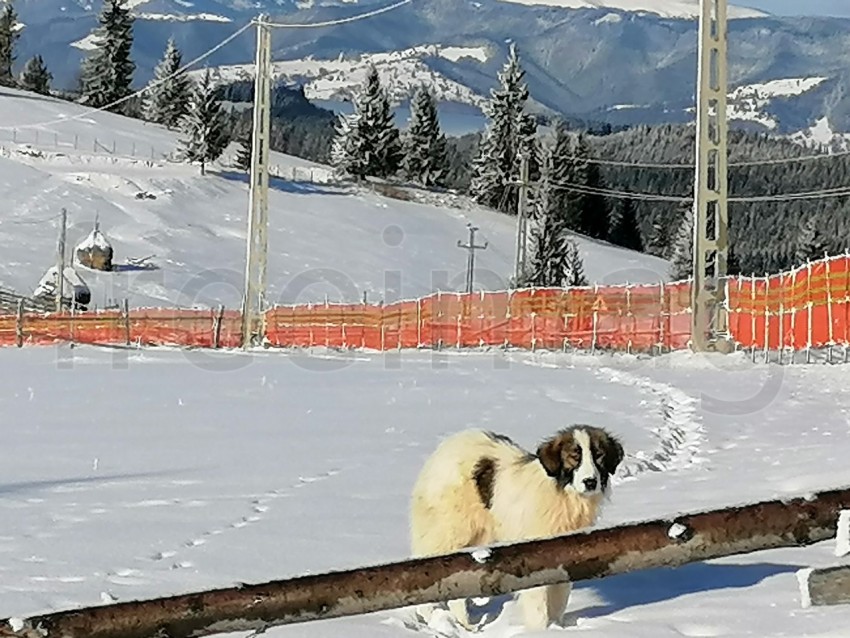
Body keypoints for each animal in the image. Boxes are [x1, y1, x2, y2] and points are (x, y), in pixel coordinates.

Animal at [410, 428, 624, 632]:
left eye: (599, 455)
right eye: (574, 456)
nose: (590, 482)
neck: (563, 493)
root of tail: (446, 446)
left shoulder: (567, 562)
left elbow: (559, 601)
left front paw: (558, 628)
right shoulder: (536, 563)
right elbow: (539, 607)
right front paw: (542, 631)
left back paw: (466, 626)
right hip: (448, 534)